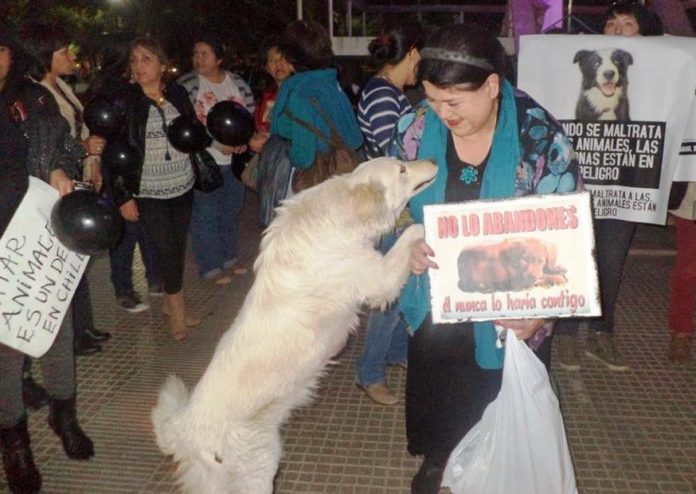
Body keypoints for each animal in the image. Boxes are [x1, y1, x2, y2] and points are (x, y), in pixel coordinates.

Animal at [152, 156, 436, 492]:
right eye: (402, 169)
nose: (433, 160)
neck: (342, 213)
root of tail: (182, 430)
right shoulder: (380, 280)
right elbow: (409, 236)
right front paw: (423, 223)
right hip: (261, 465)